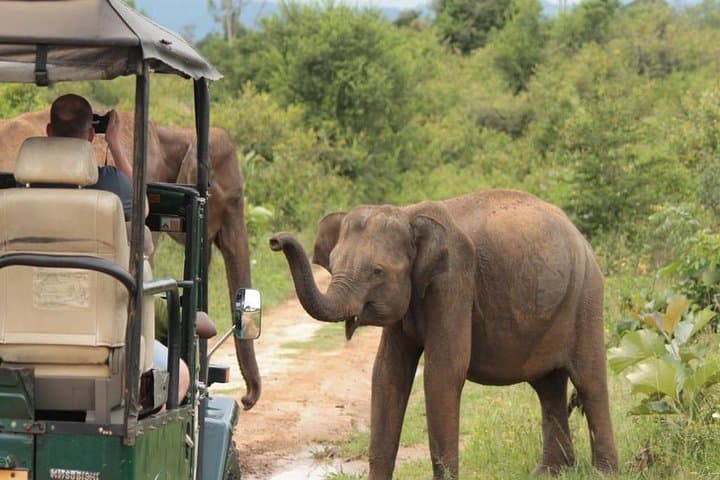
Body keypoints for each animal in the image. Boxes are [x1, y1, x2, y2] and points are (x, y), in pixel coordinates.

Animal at [269, 189, 618, 479]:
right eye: (332, 263)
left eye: (377, 272)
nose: (274, 240)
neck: (409, 214)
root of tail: (578, 234)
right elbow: (387, 373)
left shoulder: (454, 279)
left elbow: (443, 372)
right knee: (548, 386)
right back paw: (549, 472)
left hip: (586, 294)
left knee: (588, 380)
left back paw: (604, 473)